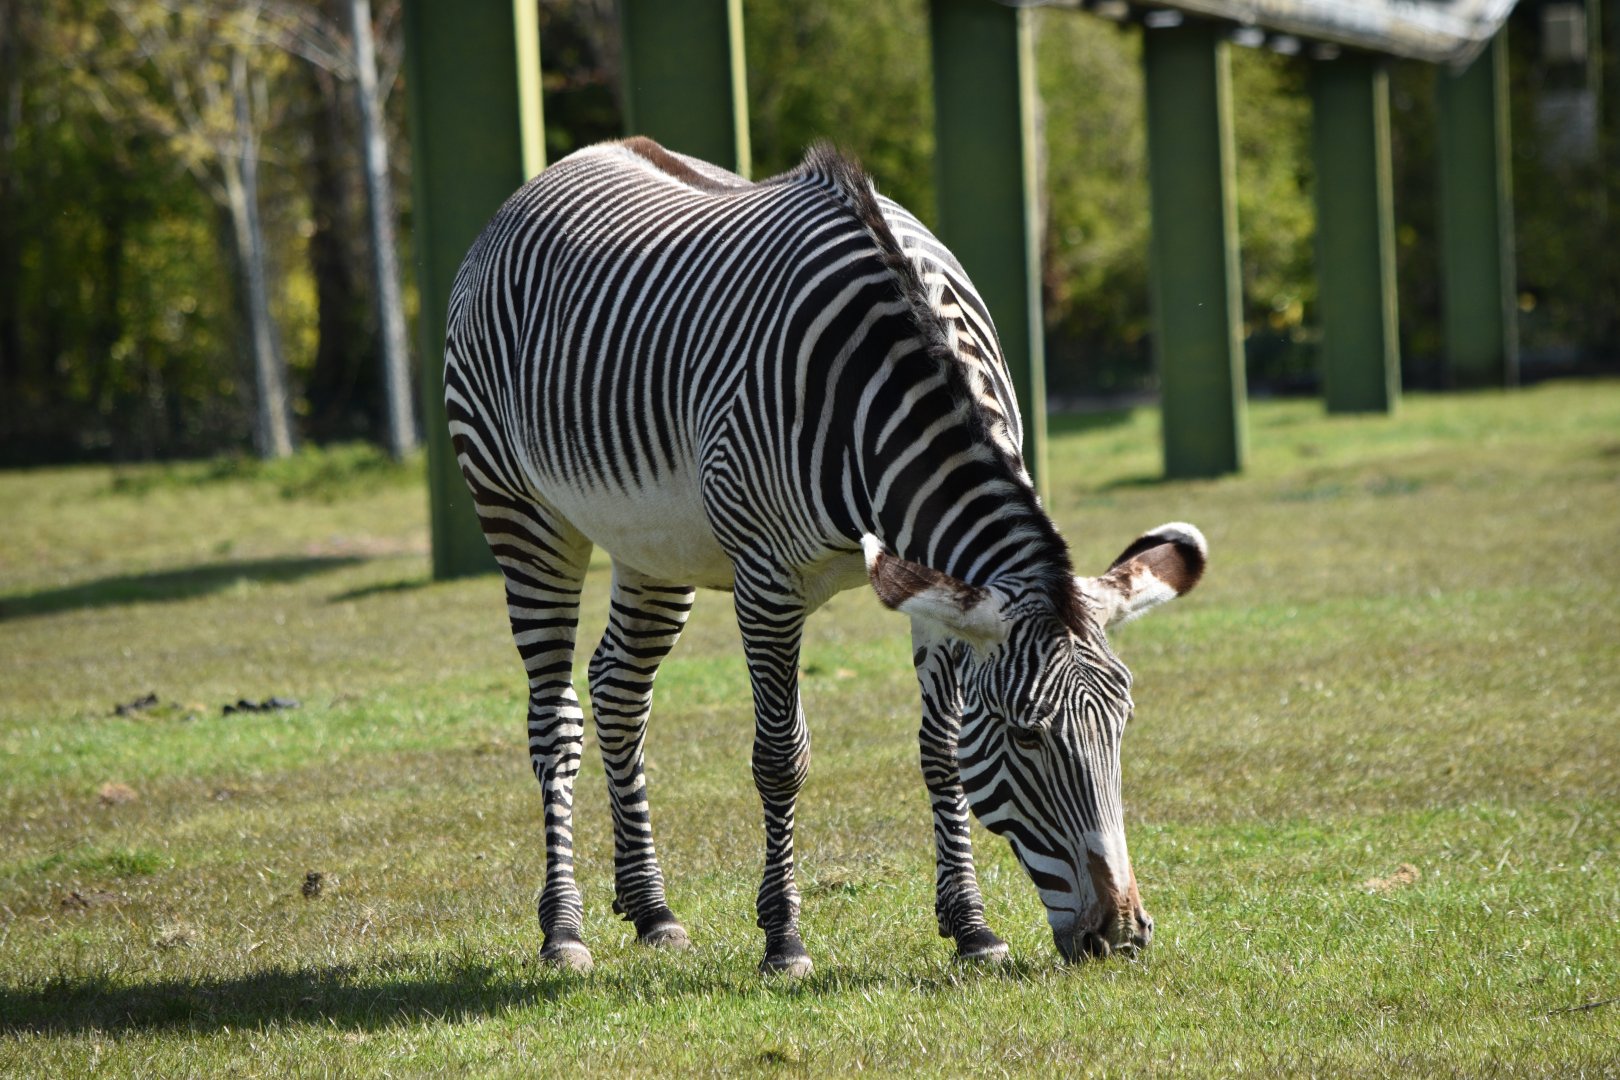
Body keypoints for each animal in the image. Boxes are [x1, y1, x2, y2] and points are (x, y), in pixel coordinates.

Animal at [444, 137, 1206, 976]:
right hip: (520, 510)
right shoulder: (767, 580)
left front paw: (971, 926)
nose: (1122, 936)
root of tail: (572, 159)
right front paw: (783, 938)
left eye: (1124, 724)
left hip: (653, 542)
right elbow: (781, 756)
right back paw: (564, 928)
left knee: (617, 688)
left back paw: (652, 910)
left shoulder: (931, 579)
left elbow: (941, 749)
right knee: (556, 717)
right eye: (1027, 735)